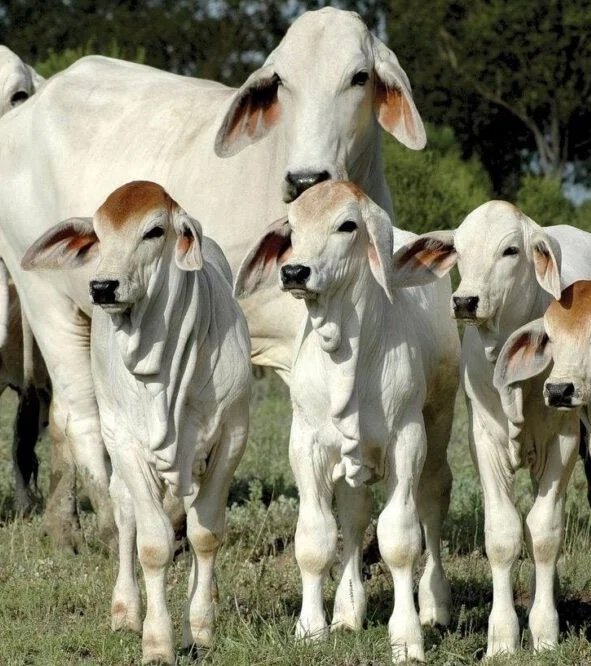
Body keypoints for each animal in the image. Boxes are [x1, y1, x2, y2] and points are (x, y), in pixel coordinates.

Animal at [0, 7, 425, 546]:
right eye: (281, 81)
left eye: (359, 77)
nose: (306, 179)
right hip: (43, 298)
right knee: (81, 414)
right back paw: (111, 523)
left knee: (56, 414)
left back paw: (65, 526)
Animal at [22, 181, 252, 664]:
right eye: (98, 234)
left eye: (154, 231)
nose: (103, 286)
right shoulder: (124, 442)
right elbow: (153, 544)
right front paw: (157, 640)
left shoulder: (232, 437)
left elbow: (205, 534)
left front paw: (200, 628)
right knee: (125, 514)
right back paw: (125, 610)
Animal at [235, 181, 460, 663]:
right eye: (292, 228)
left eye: (347, 225)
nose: (294, 272)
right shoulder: (306, 444)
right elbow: (316, 538)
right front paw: (311, 627)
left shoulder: (407, 442)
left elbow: (400, 540)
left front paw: (408, 636)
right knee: (355, 517)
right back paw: (347, 611)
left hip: (439, 422)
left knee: (432, 505)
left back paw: (435, 606)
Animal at [394, 200, 591, 655]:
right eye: (460, 250)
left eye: (510, 251)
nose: (466, 300)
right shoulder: (483, 442)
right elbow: (503, 535)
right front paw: (502, 636)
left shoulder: (565, 443)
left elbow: (545, 533)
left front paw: (544, 630)